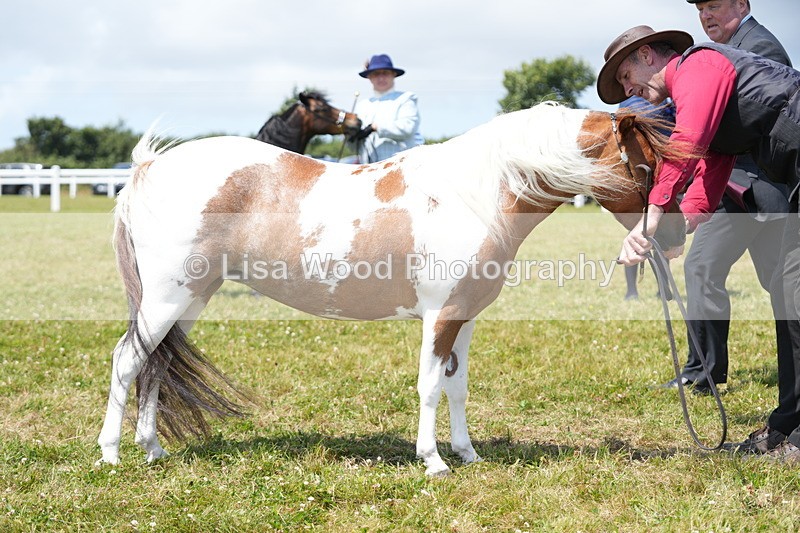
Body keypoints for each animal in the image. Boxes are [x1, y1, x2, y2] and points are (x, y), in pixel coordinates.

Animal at [97, 102, 687, 476]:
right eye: (648, 165)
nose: (676, 236)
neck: (473, 196)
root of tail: (149, 167)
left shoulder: (465, 317)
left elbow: (456, 387)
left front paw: (468, 454)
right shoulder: (440, 317)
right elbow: (428, 386)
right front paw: (434, 462)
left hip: (189, 300)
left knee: (158, 364)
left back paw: (153, 449)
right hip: (167, 298)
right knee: (128, 360)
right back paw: (111, 455)